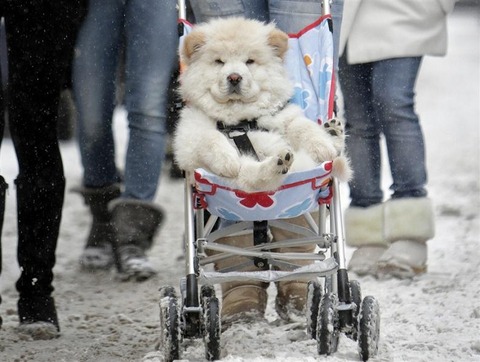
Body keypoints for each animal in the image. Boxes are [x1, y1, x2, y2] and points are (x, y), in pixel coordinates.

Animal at [172, 17, 348, 192]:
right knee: (255, 177)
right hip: (238, 179)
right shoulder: (188, 140)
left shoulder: (282, 116)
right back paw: (278, 163)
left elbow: (302, 126)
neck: (240, 119)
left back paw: (333, 133)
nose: (234, 77)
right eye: (219, 62)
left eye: (249, 61)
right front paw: (228, 161)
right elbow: (209, 137)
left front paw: (323, 146)